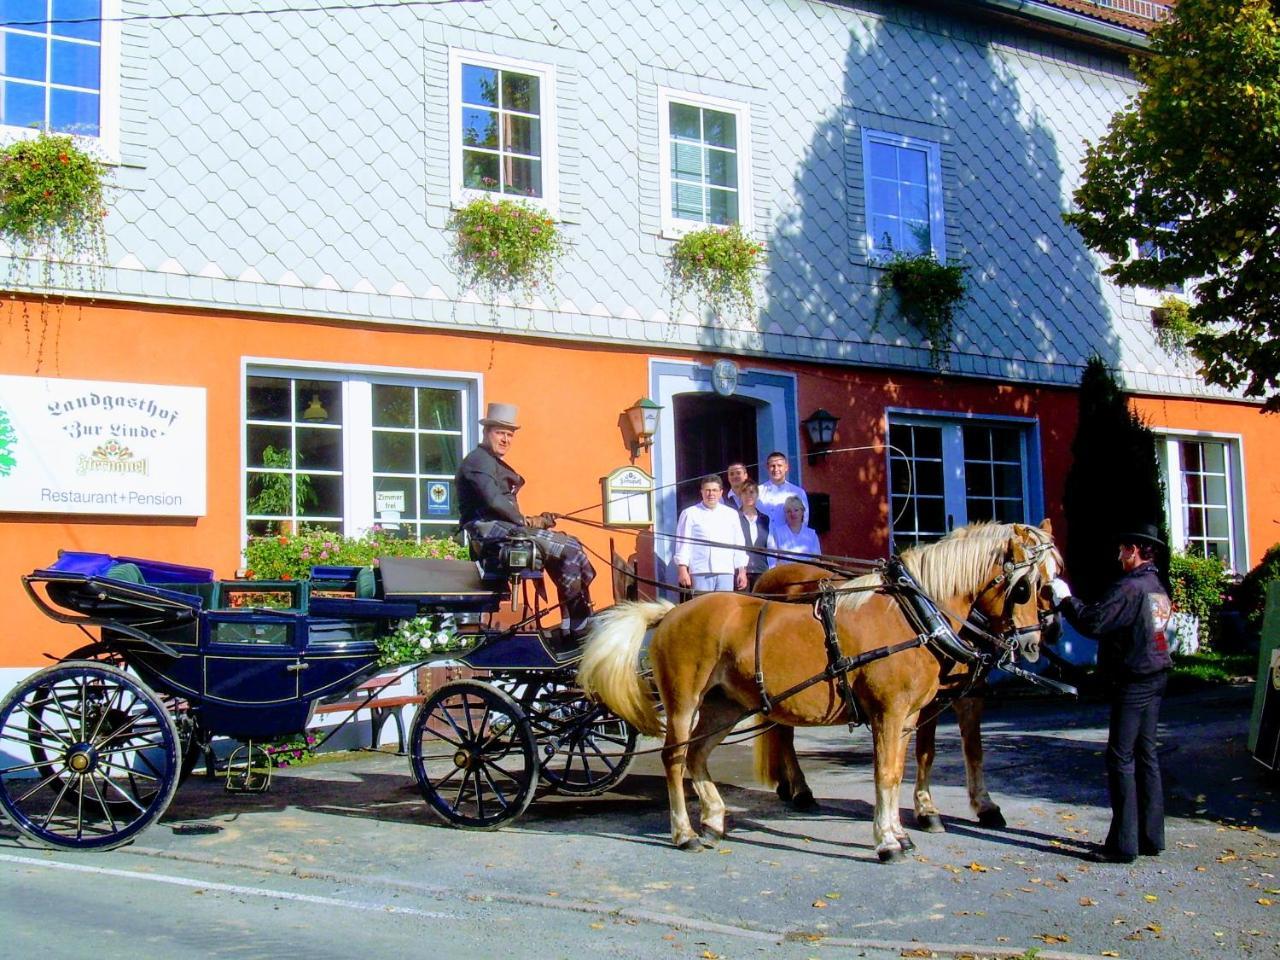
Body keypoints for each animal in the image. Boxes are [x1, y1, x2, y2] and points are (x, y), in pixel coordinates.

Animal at [581, 522, 1059, 870]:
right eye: (1026, 586)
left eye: (1046, 582)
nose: (1034, 643)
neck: (913, 615)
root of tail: (670, 612)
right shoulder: (889, 713)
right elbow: (886, 774)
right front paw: (887, 842)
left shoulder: (908, 716)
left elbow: (900, 771)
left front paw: (902, 832)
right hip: (684, 701)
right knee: (675, 758)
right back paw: (685, 833)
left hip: (726, 706)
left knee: (698, 756)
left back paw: (714, 819)